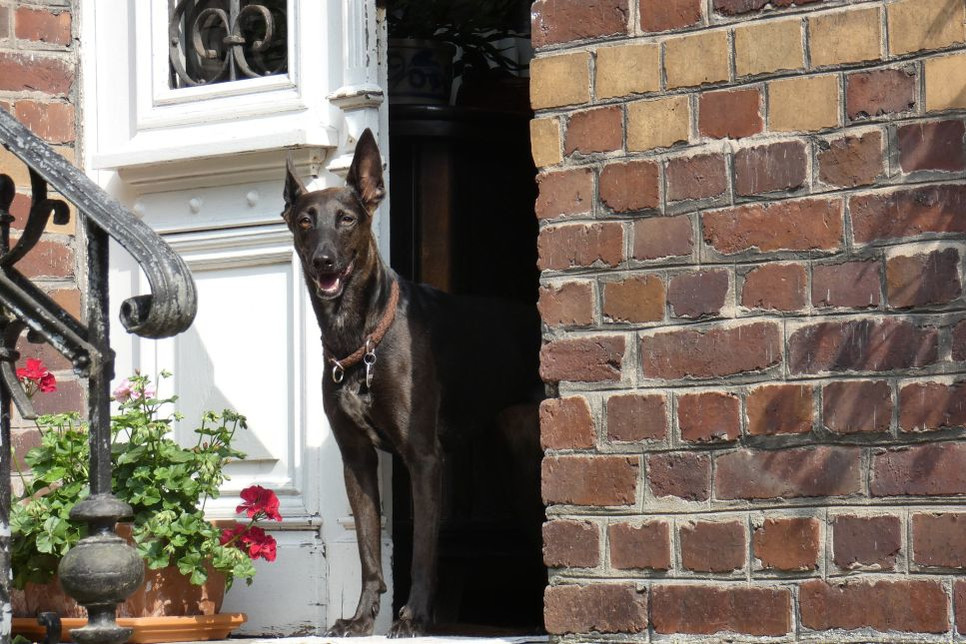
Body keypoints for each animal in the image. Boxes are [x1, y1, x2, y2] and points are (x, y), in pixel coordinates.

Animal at [282, 130, 544, 632]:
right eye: (305, 221)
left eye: (346, 220)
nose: (324, 261)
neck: (360, 337)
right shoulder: (356, 460)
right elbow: (368, 551)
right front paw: (361, 619)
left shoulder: (424, 459)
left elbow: (423, 551)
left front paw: (415, 617)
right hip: (516, 461)